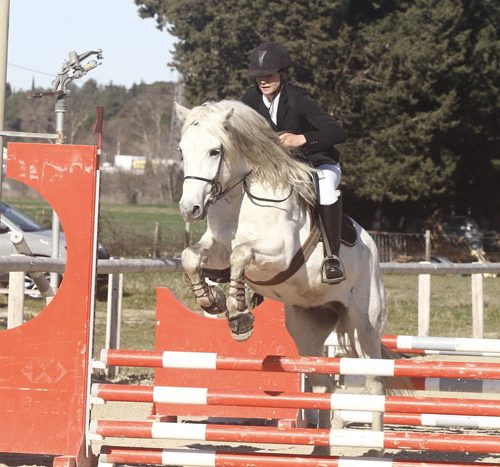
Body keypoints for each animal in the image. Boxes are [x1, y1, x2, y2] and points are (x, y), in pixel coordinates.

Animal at [176, 100, 390, 448]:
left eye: (214, 150)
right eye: (182, 150)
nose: (189, 209)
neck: (240, 199)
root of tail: (373, 246)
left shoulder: (279, 254)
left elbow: (241, 254)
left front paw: (239, 315)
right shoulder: (216, 247)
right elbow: (192, 257)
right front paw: (211, 300)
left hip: (365, 326)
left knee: (375, 381)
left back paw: (375, 445)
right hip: (308, 325)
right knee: (323, 383)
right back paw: (321, 445)